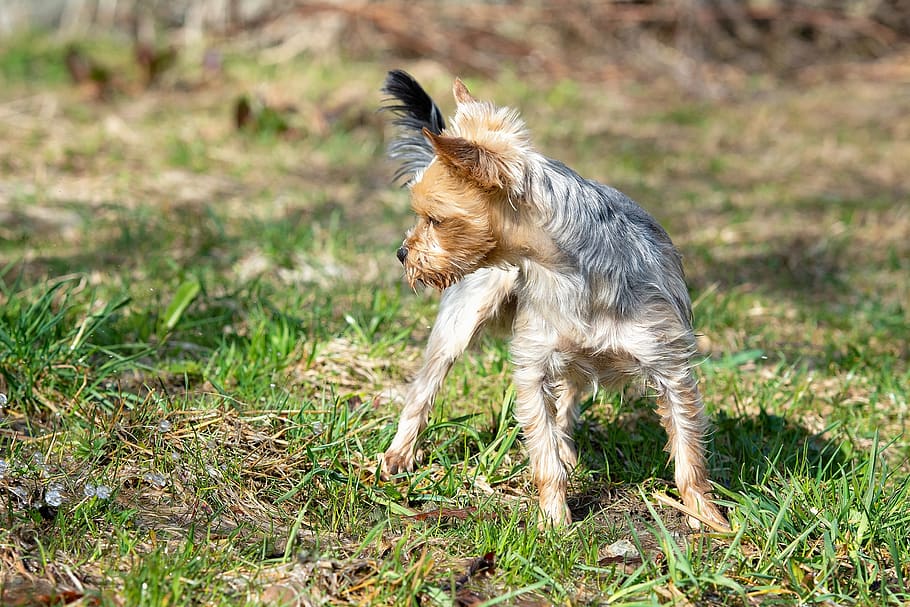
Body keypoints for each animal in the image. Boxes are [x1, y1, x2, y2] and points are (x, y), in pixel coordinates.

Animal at [382, 69, 732, 528]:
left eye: (435, 220)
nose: (402, 253)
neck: (568, 273)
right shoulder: (532, 368)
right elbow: (542, 453)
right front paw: (554, 521)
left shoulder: (671, 367)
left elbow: (689, 455)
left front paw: (706, 516)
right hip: (464, 319)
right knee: (425, 386)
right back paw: (400, 454)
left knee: (567, 399)